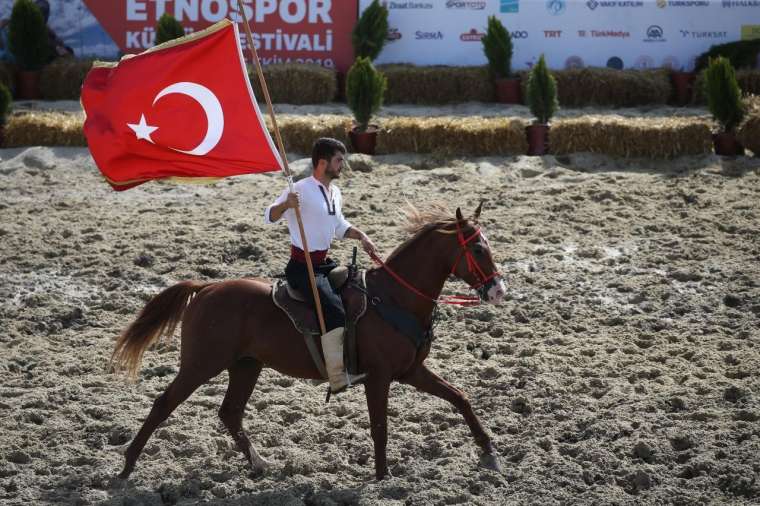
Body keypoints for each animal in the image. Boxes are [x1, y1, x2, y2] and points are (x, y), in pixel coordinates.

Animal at [111, 204, 504, 480]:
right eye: (477, 250)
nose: (498, 290)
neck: (392, 297)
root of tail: (206, 287)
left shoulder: (411, 371)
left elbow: (459, 397)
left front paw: (489, 451)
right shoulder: (379, 378)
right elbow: (380, 427)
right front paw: (382, 477)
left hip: (246, 365)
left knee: (230, 412)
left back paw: (259, 464)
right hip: (201, 364)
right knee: (164, 404)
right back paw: (127, 466)